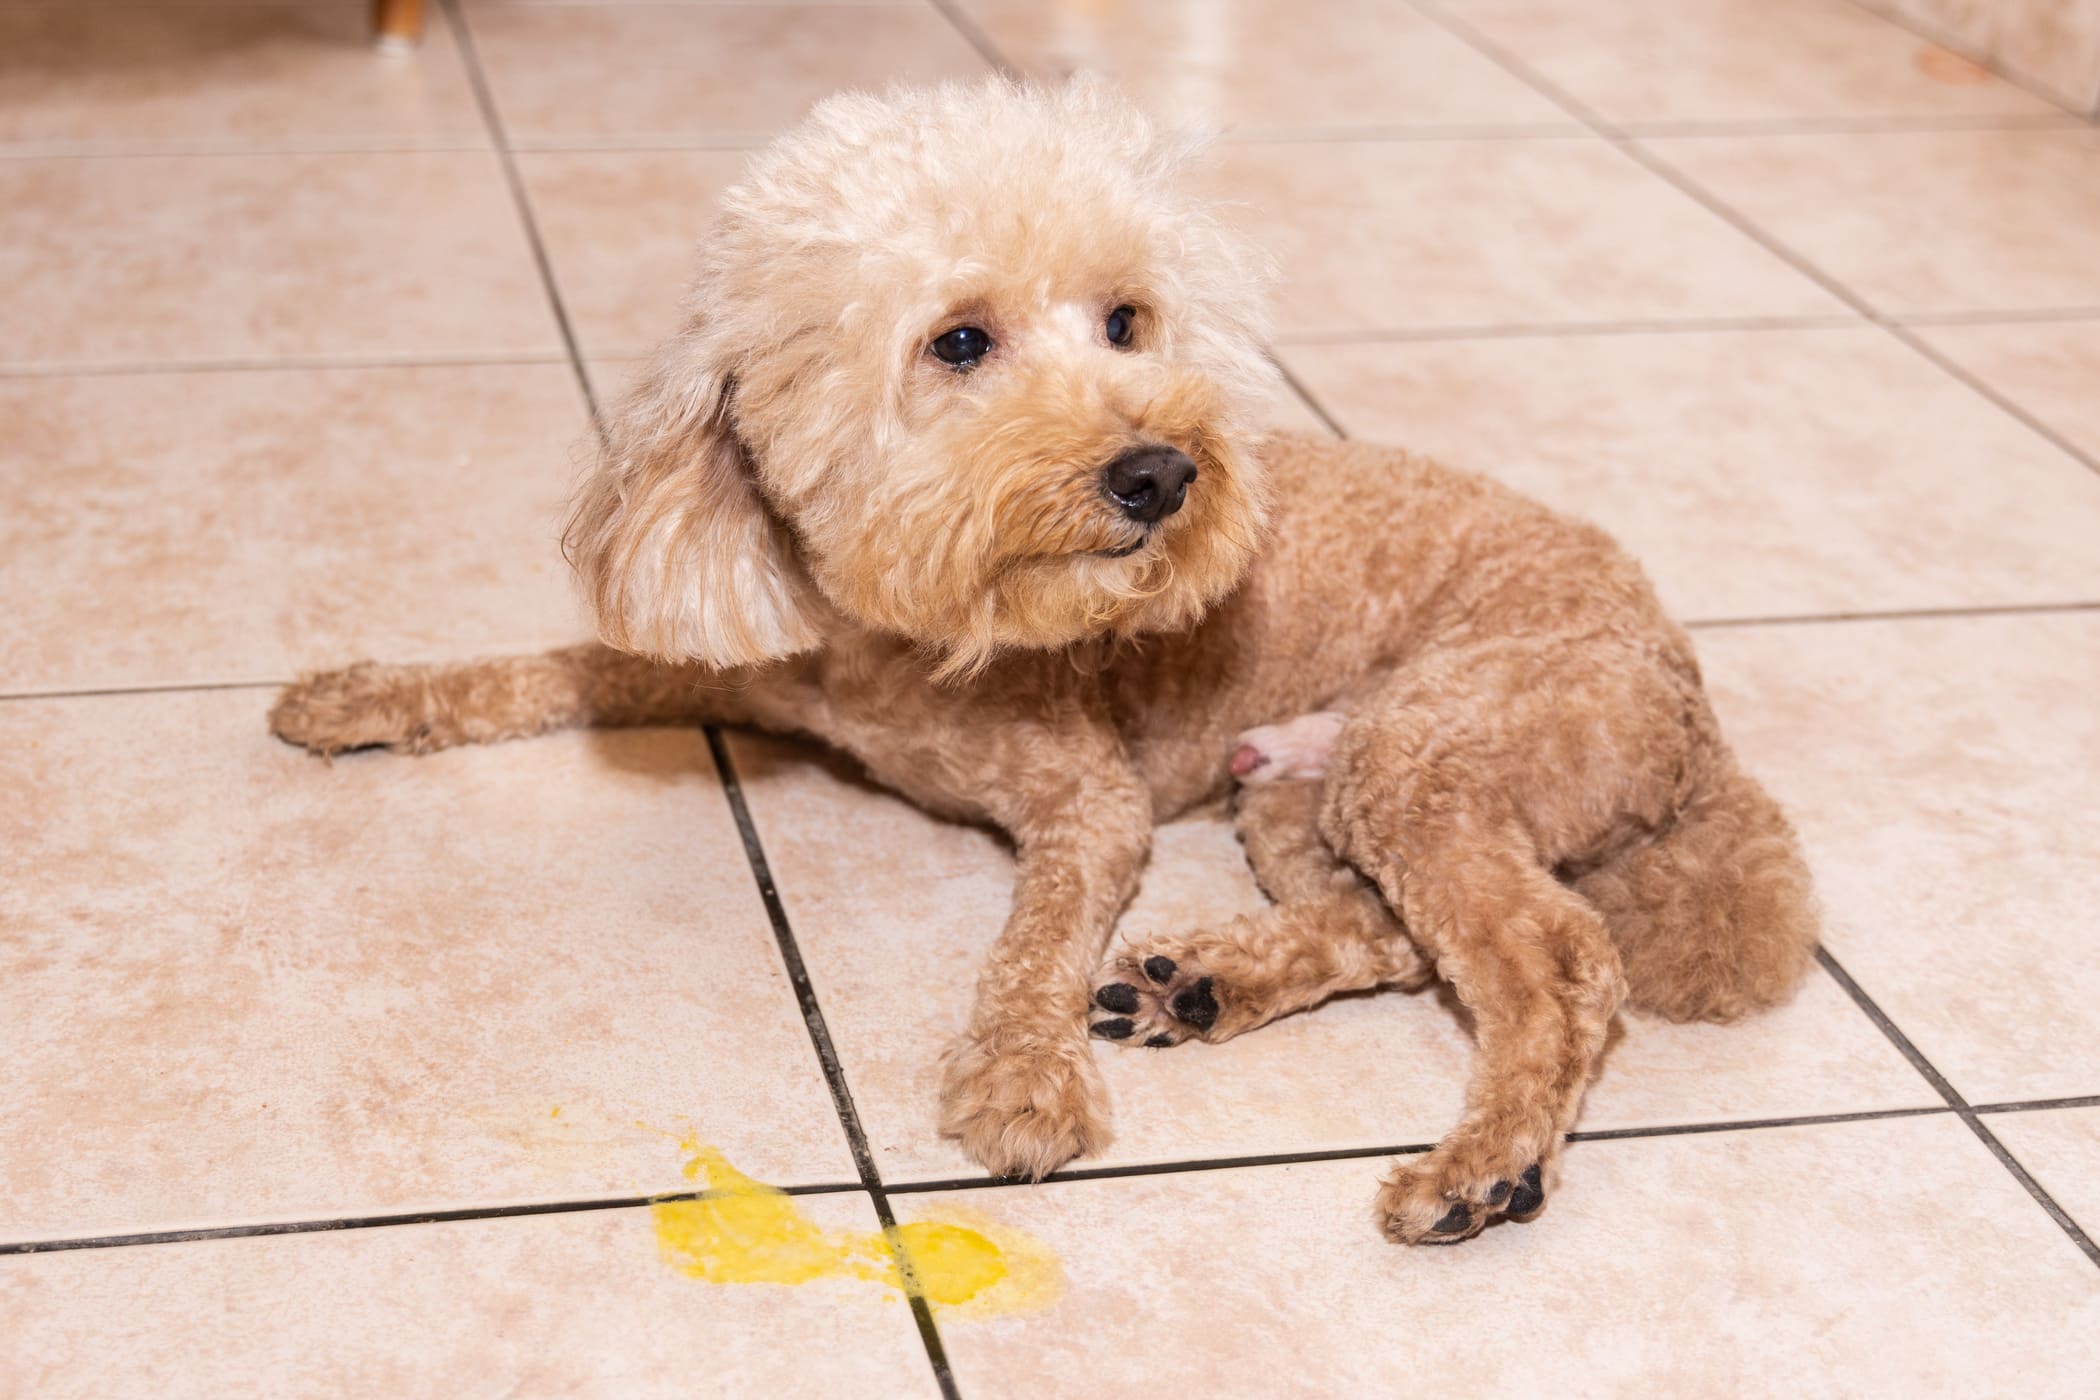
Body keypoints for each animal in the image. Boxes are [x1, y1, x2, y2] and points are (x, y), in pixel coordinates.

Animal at [275, 76, 1822, 1242]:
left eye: (1126, 319)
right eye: (960, 340)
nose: (1161, 471)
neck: (895, 641)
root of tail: (1690, 701)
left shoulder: (1093, 805)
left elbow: (1030, 941)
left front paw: (1024, 1074)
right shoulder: (727, 667)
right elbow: (550, 661)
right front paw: (373, 692)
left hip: (1428, 752)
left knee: (1556, 963)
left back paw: (1484, 1165)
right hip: (1301, 792)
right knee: (1391, 933)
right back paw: (1204, 983)